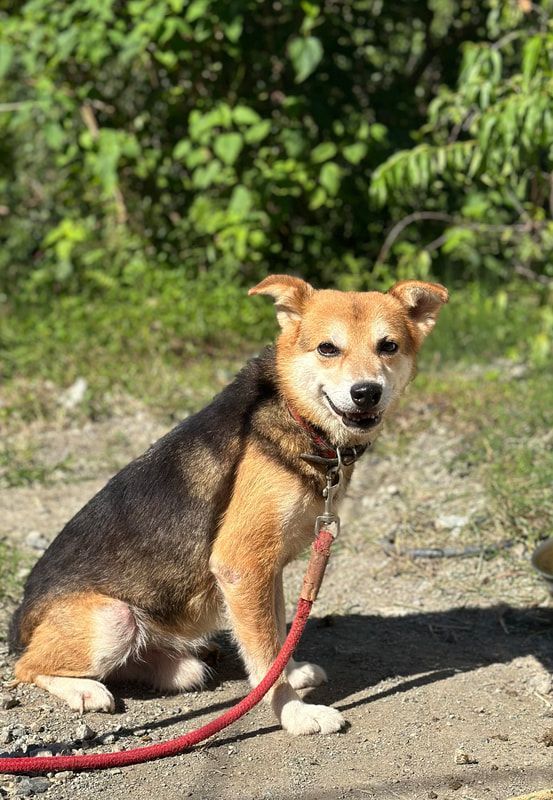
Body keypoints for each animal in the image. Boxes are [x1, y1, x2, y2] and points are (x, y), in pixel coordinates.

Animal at [8, 276, 446, 736]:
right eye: (328, 348)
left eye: (388, 346)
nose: (366, 393)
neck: (296, 416)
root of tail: (19, 620)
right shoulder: (243, 565)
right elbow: (266, 656)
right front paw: (294, 712)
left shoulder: (267, 571)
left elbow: (276, 635)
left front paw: (292, 672)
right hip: (113, 620)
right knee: (26, 667)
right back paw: (84, 690)